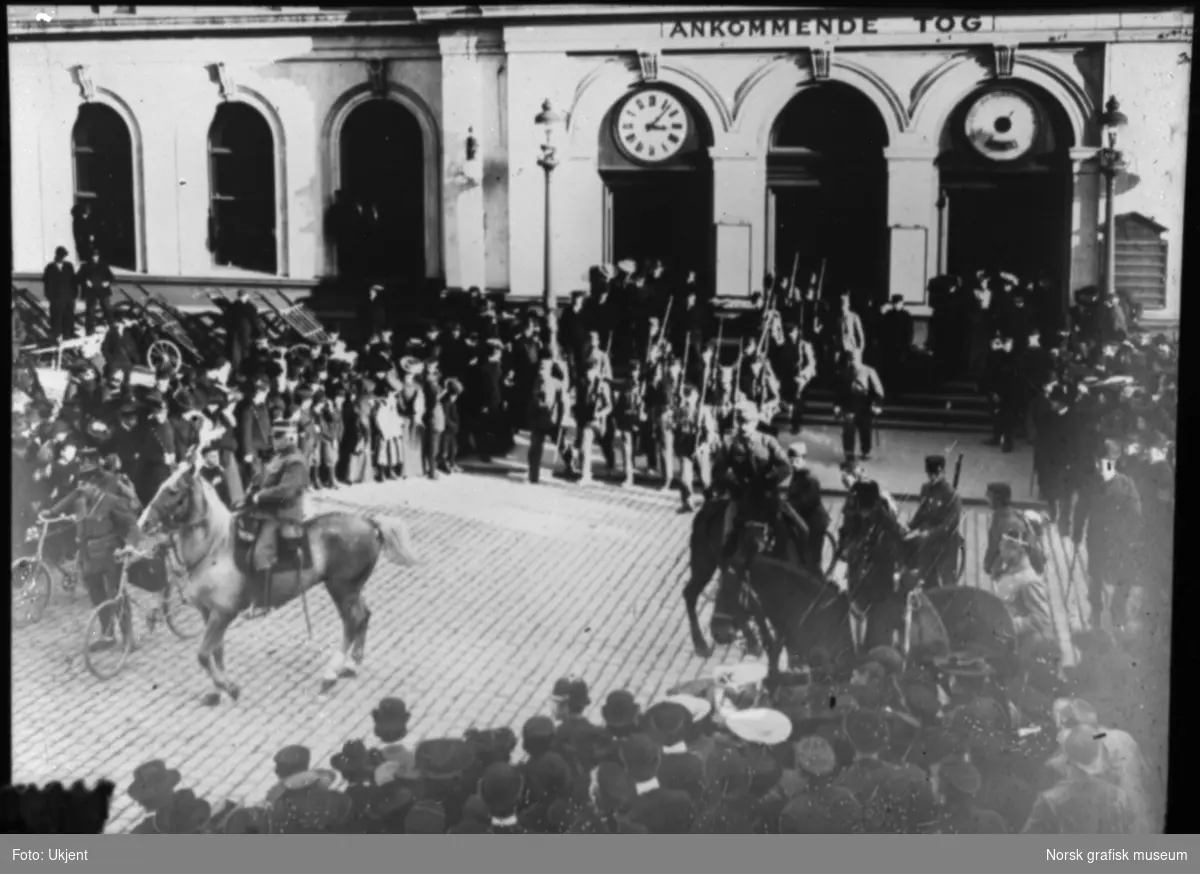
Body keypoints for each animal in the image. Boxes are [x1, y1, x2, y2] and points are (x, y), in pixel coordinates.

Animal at [137, 453, 422, 705]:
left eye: (173, 491)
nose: (143, 523)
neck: (214, 548)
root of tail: (370, 523)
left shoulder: (223, 613)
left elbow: (203, 654)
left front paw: (230, 687)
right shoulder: (209, 613)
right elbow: (216, 651)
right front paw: (219, 691)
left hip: (341, 588)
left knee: (352, 621)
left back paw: (331, 673)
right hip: (352, 589)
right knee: (364, 616)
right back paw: (352, 664)